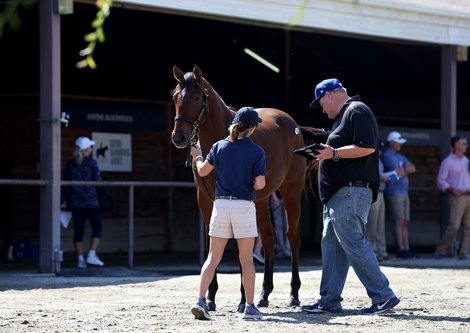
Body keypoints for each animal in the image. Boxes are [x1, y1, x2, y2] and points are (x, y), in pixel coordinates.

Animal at [171, 65, 318, 312]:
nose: (179, 137)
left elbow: (241, 246)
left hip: (291, 192)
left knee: (292, 237)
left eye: (196, 97)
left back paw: (293, 294)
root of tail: (294, 126)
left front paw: (241, 300)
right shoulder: (206, 199)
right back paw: (264, 294)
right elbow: (213, 243)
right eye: (175, 97)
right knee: (268, 239)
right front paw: (210, 297)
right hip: (261, 200)